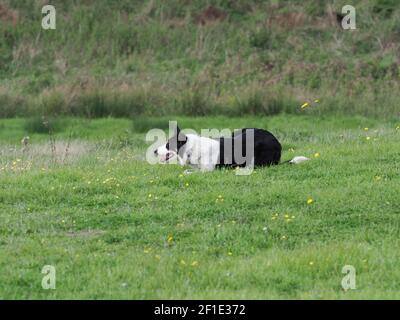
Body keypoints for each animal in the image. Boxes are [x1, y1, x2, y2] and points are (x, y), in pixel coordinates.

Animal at [154, 125, 310, 171]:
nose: (155, 151)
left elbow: (190, 171)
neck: (192, 148)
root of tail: (278, 143)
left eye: (168, 145)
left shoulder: (208, 170)